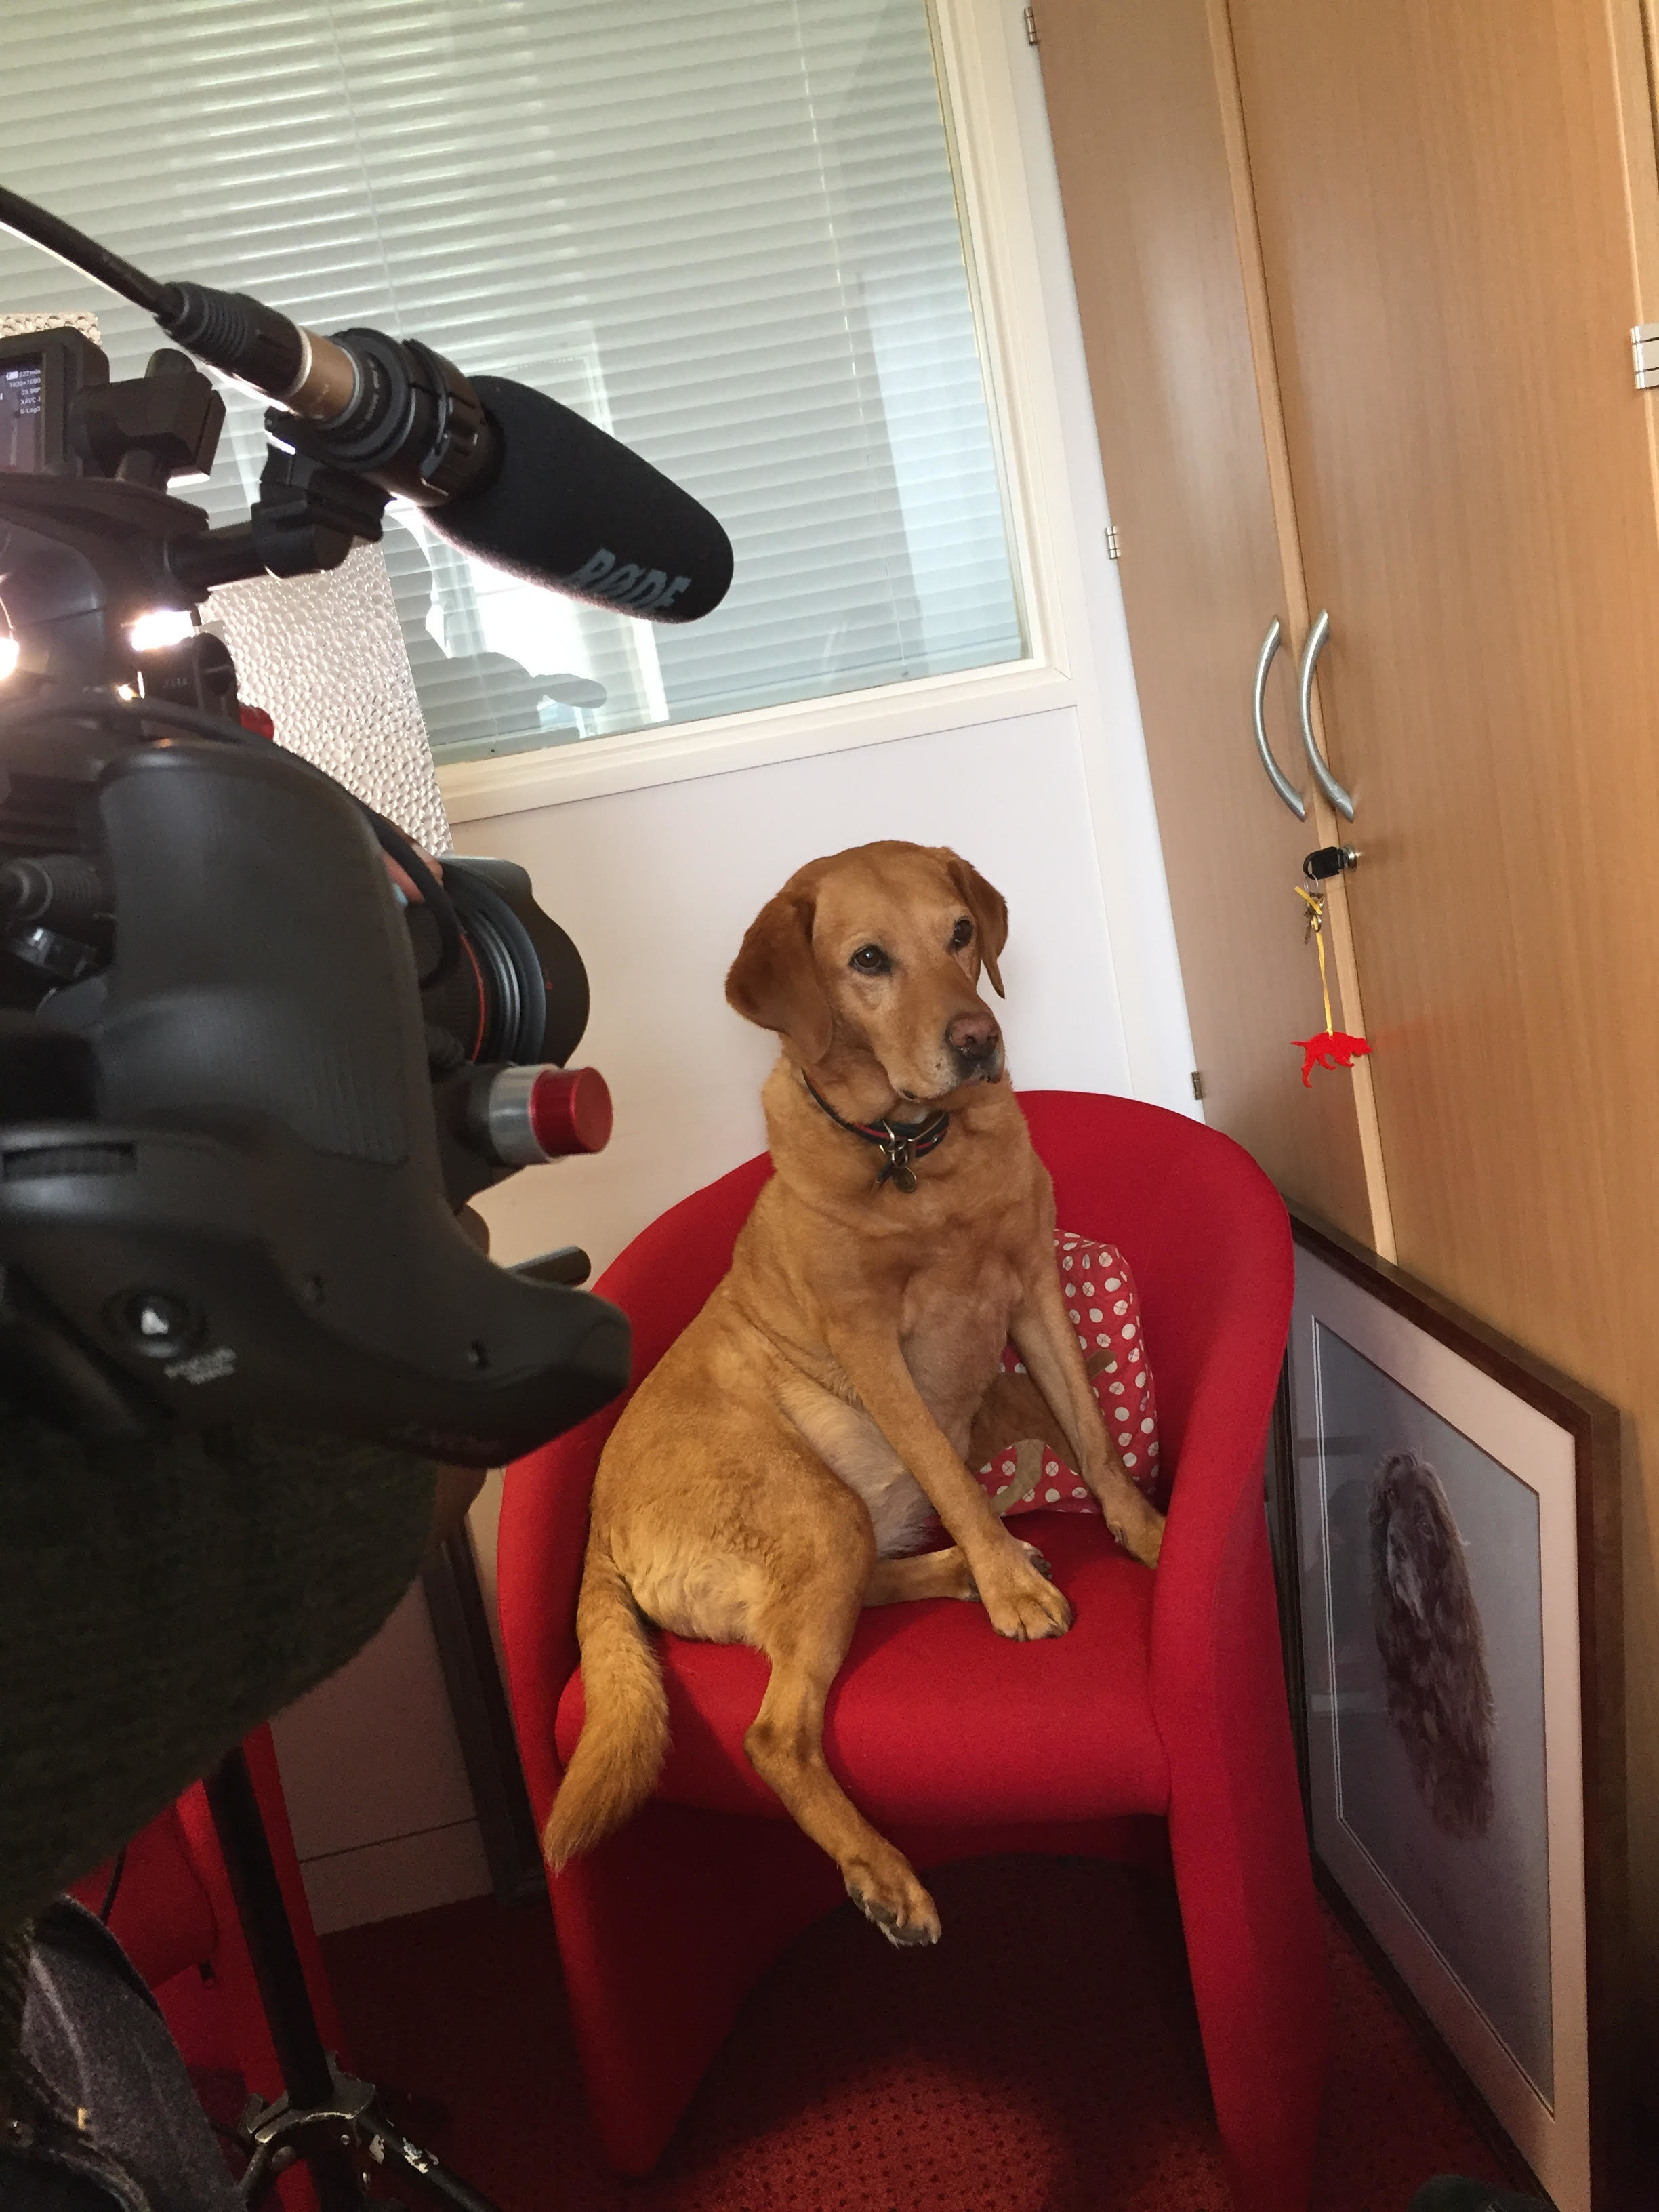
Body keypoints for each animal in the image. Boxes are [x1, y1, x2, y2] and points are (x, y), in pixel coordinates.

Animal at [546, 836, 1168, 1946]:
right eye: (868, 961)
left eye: (959, 934)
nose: (978, 1040)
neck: (913, 1151)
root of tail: (596, 1537)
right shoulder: (873, 1347)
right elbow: (951, 1471)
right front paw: (1012, 1594)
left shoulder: (1032, 1288)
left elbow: (1093, 1430)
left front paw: (1144, 1532)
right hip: (816, 1507)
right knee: (775, 1735)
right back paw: (884, 1868)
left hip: (844, 1529)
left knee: (847, 1599)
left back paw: (971, 1568)